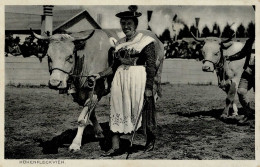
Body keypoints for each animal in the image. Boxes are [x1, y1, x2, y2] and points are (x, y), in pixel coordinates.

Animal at [31, 29, 164, 153]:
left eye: (69, 57)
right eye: (49, 57)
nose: (54, 83)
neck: (86, 58)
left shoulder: (96, 92)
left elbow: (82, 119)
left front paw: (75, 144)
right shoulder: (82, 94)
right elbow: (91, 113)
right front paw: (99, 132)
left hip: (155, 76)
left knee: (152, 97)